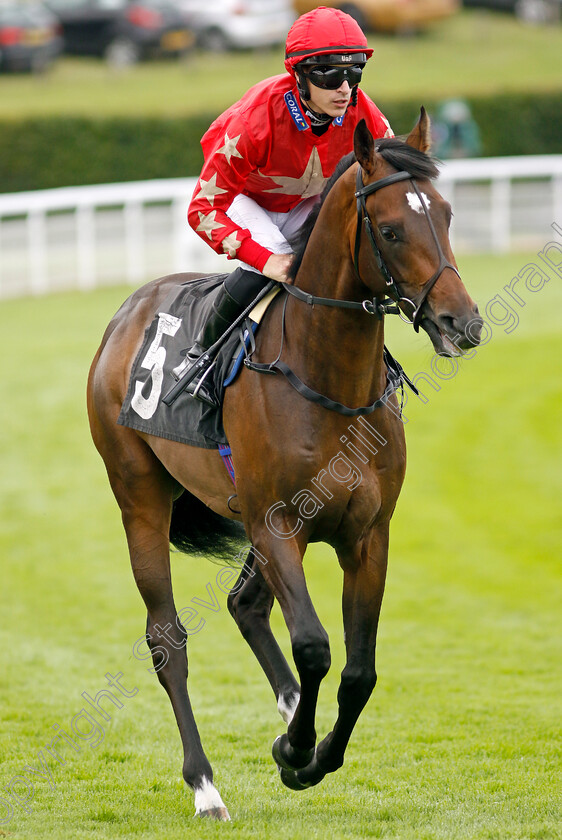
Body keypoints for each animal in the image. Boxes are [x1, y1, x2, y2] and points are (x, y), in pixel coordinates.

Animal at [86, 111, 482, 820]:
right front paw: (296, 752)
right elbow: (315, 646)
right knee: (167, 639)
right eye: (390, 229)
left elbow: (358, 670)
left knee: (245, 605)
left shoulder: (367, 535)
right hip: (140, 498)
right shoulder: (276, 526)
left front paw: (314, 749)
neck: (328, 382)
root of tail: (126, 315)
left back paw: (292, 708)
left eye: (445, 213)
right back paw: (206, 785)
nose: (462, 322)